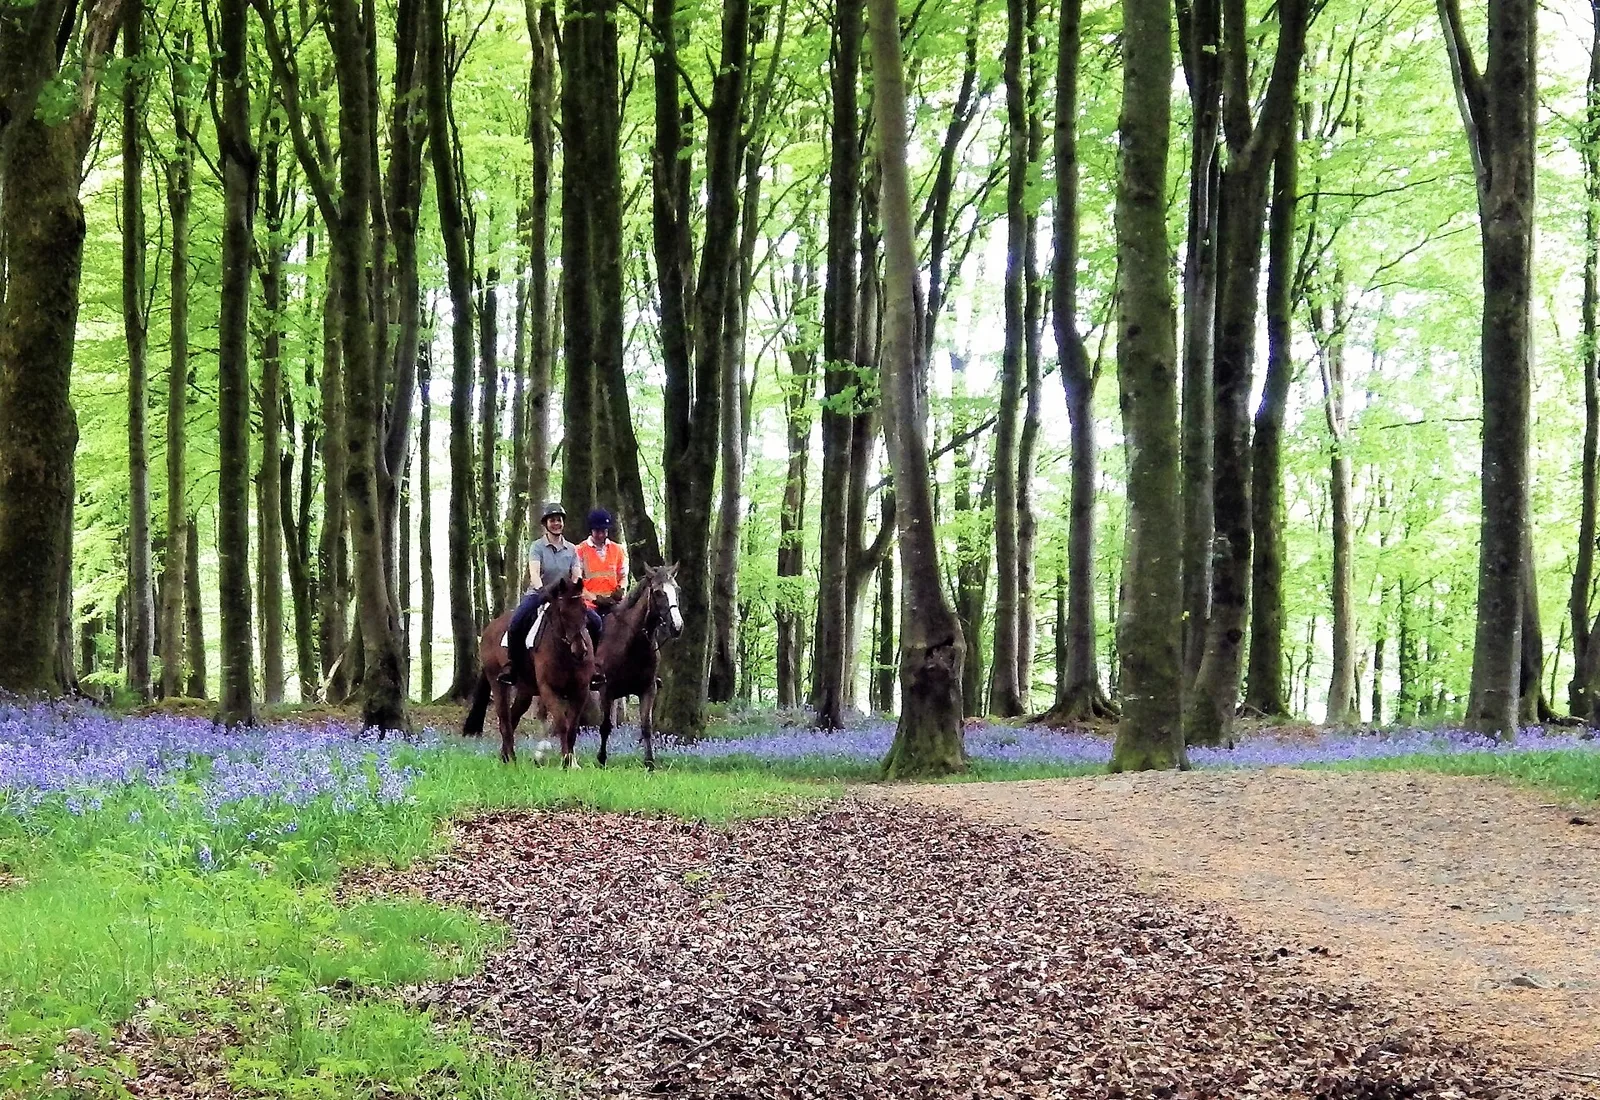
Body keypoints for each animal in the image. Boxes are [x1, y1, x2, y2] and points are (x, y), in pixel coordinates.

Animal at [463, 576, 596, 766]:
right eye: (562, 612)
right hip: (497, 682)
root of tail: (489, 629)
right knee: (504, 720)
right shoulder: (548, 690)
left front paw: (572, 762)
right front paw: (566, 762)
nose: (580, 650)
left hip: (524, 690)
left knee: (513, 717)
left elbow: (572, 727)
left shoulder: (581, 691)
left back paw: (505, 756)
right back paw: (511, 759)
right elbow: (562, 724)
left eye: (584, 609)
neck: (565, 653)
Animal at [593, 563, 684, 769]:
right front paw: (602, 759)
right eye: (658, 592)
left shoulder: (648, 689)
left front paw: (649, 762)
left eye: (677, 590)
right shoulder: (606, 689)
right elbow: (605, 726)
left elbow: (646, 726)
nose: (677, 627)